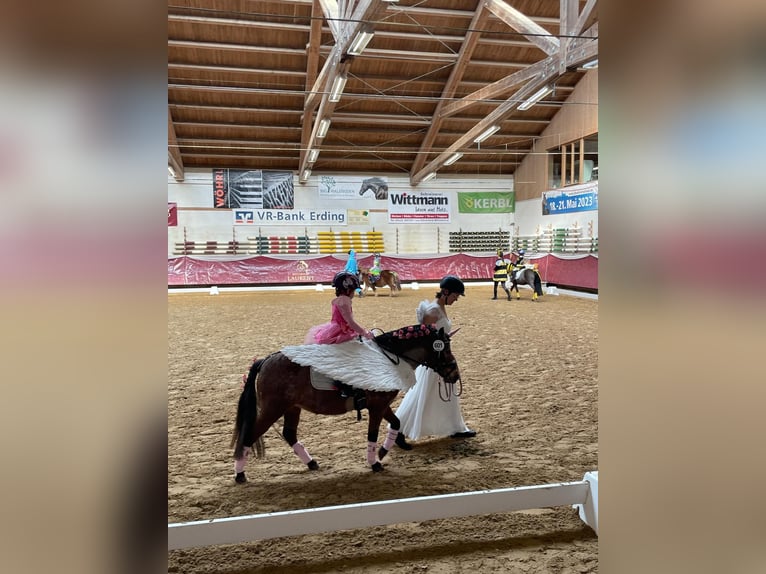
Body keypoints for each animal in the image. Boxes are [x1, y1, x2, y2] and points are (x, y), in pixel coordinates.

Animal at [231, 324, 460, 482]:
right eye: (445, 349)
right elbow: (372, 434)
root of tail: (265, 360)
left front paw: (383, 452)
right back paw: (240, 475)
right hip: (273, 409)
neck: (390, 358)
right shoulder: (377, 407)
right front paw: (374, 463)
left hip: (292, 408)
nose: (455, 375)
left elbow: (395, 423)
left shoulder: (382, 405)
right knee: (249, 436)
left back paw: (311, 463)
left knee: (289, 434)